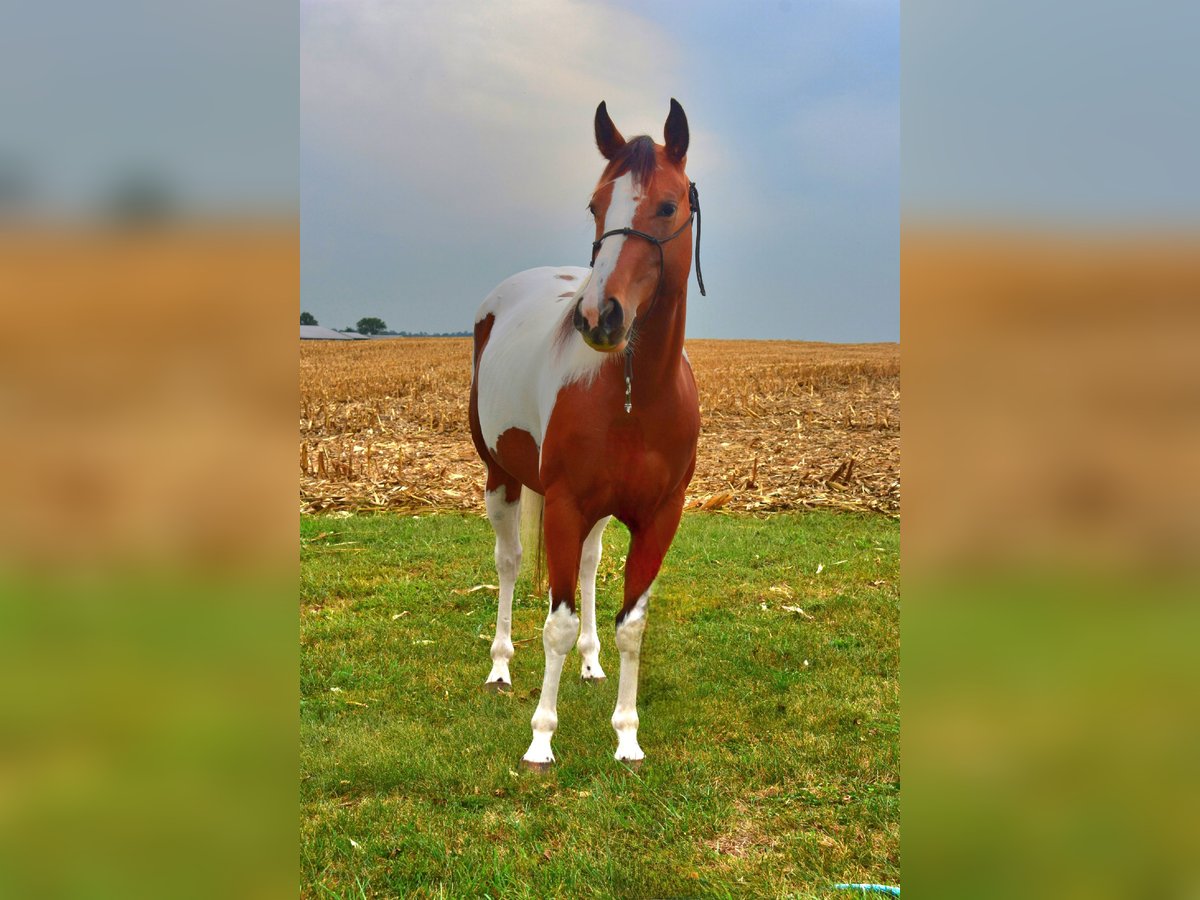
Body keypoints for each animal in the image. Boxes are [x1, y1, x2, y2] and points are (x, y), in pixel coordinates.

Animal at [468, 99, 705, 769]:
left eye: (668, 206)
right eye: (595, 205)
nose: (600, 317)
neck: (633, 395)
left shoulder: (659, 516)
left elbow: (632, 624)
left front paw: (626, 736)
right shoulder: (567, 504)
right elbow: (557, 624)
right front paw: (541, 738)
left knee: (593, 567)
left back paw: (592, 663)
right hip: (501, 477)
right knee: (508, 562)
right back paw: (500, 668)